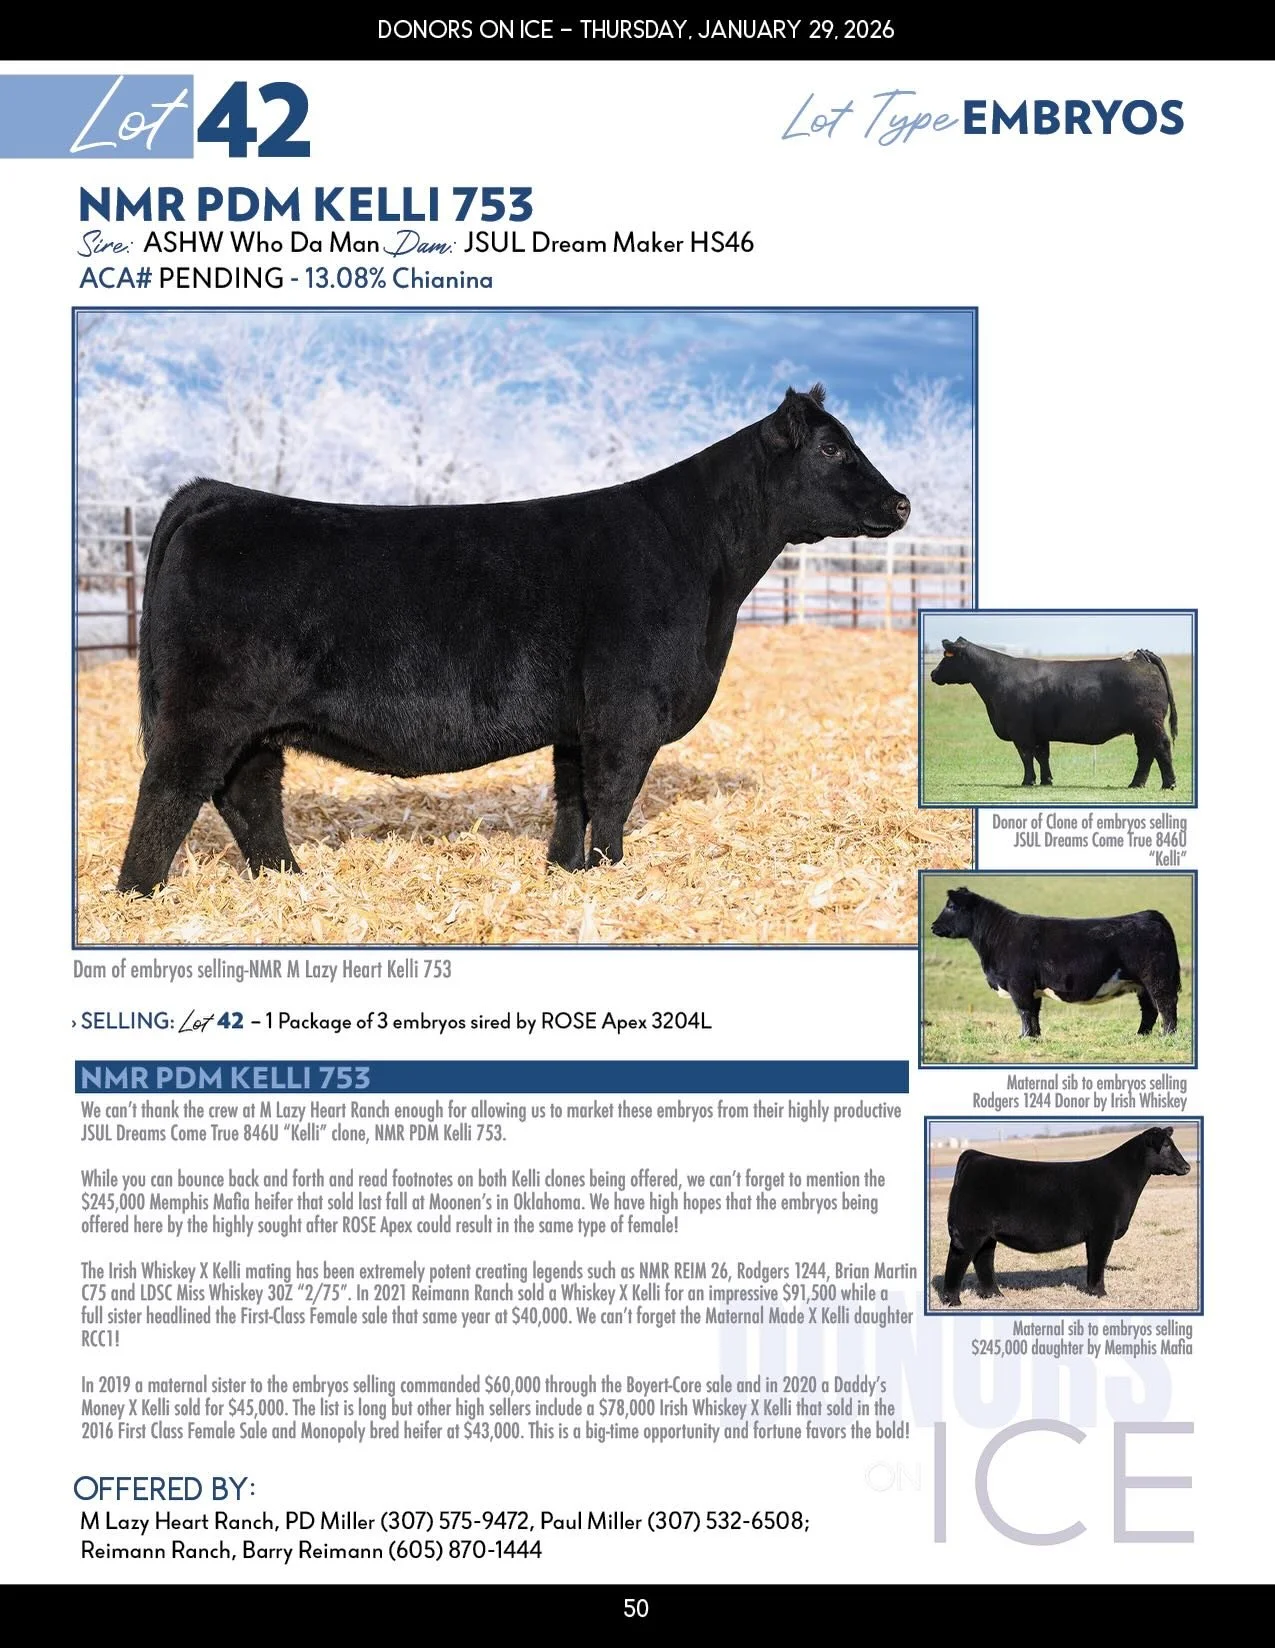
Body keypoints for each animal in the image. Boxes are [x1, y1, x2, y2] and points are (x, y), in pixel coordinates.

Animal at [114, 385, 910, 895]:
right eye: (833, 449)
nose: (901, 503)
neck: (705, 567)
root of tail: (217, 494)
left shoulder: (579, 721)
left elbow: (572, 797)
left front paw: (565, 872)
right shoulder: (627, 711)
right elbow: (613, 796)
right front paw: (610, 875)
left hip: (256, 725)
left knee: (249, 793)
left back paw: (288, 883)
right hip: (205, 711)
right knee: (171, 790)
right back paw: (139, 896)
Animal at [929, 637, 1178, 789]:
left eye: (947, 656)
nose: (932, 673)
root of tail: (1140, 655)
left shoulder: (1020, 730)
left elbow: (1026, 756)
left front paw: (1027, 781)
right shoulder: (1039, 732)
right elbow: (1042, 756)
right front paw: (1046, 780)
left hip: (1150, 723)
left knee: (1161, 746)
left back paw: (1169, 783)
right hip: (1141, 727)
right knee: (1146, 752)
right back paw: (1136, 783)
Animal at [929, 886, 1181, 1038]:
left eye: (951, 906)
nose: (933, 926)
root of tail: (1149, 914)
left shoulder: (1018, 984)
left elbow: (1024, 1010)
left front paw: (1024, 1037)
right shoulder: (1031, 987)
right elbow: (1033, 1012)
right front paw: (1033, 1036)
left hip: (1157, 979)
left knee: (1166, 1005)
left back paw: (1166, 1035)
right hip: (1141, 984)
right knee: (1150, 1009)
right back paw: (1141, 1035)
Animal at [938, 1126, 1191, 1304]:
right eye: (1166, 1146)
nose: (1187, 1167)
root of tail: (974, 1156)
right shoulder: (1103, 1231)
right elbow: (1098, 1261)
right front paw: (1099, 1293)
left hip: (988, 1235)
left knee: (983, 1260)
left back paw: (995, 1295)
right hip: (970, 1231)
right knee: (957, 1261)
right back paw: (953, 1300)